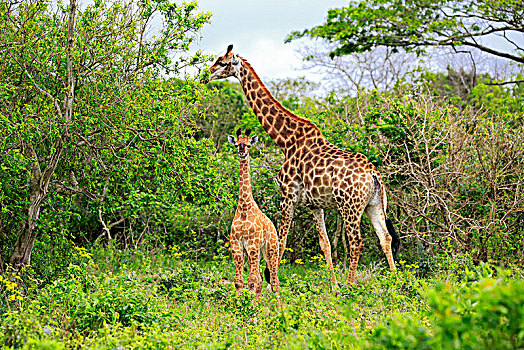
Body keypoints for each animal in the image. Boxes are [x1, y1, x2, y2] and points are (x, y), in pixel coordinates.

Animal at [228, 127, 280, 304]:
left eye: (249, 144)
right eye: (237, 144)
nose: (242, 151)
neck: (244, 208)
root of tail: (274, 228)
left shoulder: (251, 244)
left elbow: (251, 281)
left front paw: (250, 307)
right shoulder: (237, 244)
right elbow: (239, 281)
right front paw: (239, 306)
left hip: (271, 249)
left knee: (274, 281)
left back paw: (279, 309)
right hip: (259, 250)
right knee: (261, 278)